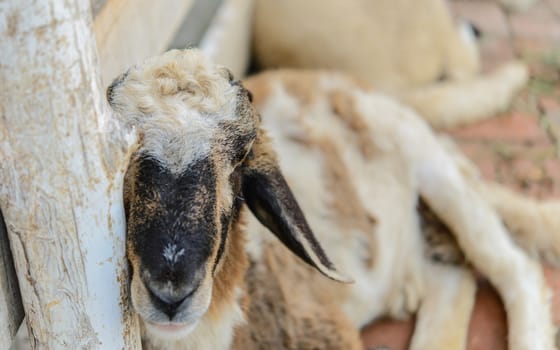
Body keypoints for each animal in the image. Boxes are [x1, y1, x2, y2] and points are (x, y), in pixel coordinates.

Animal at [106, 48, 560, 348]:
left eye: (241, 156)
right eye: (121, 155)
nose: (171, 292)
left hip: (435, 167)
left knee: (514, 268)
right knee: (454, 279)